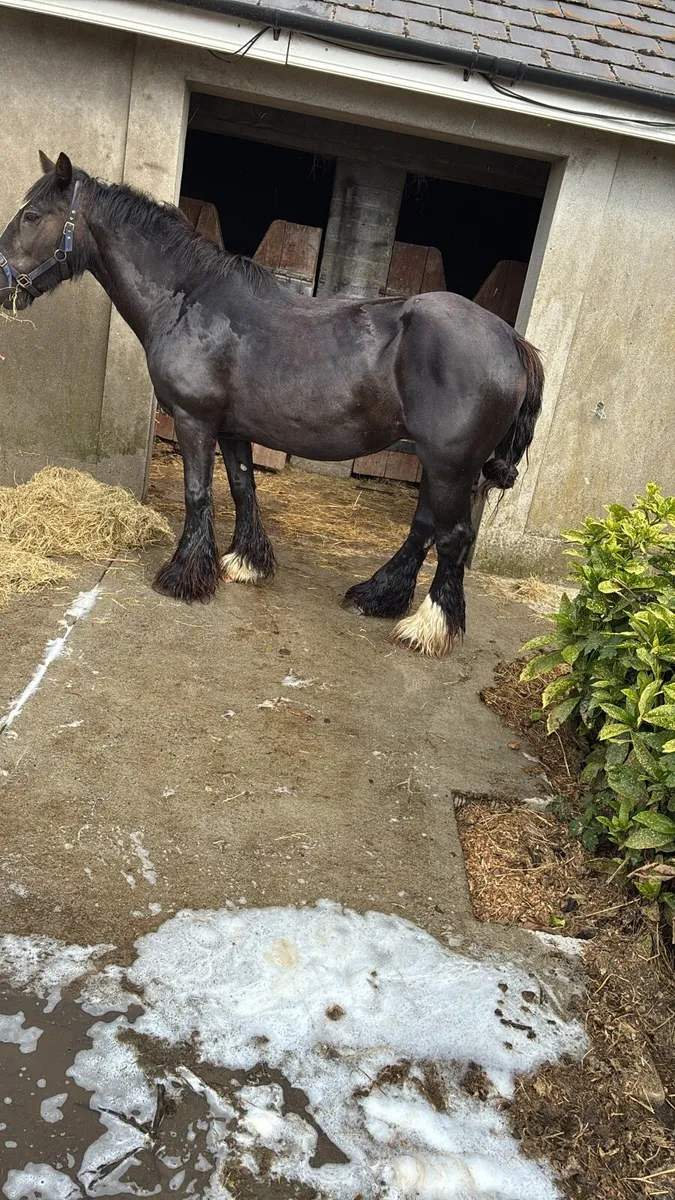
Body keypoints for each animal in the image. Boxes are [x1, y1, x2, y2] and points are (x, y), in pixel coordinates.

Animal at [0, 152, 543, 657]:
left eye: (31, 215)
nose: (1, 283)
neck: (187, 298)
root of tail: (512, 340)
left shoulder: (194, 421)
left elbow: (199, 494)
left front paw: (183, 577)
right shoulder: (231, 429)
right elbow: (244, 489)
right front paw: (245, 563)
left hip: (451, 464)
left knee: (453, 537)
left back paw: (429, 627)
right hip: (438, 462)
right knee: (424, 527)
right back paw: (377, 596)